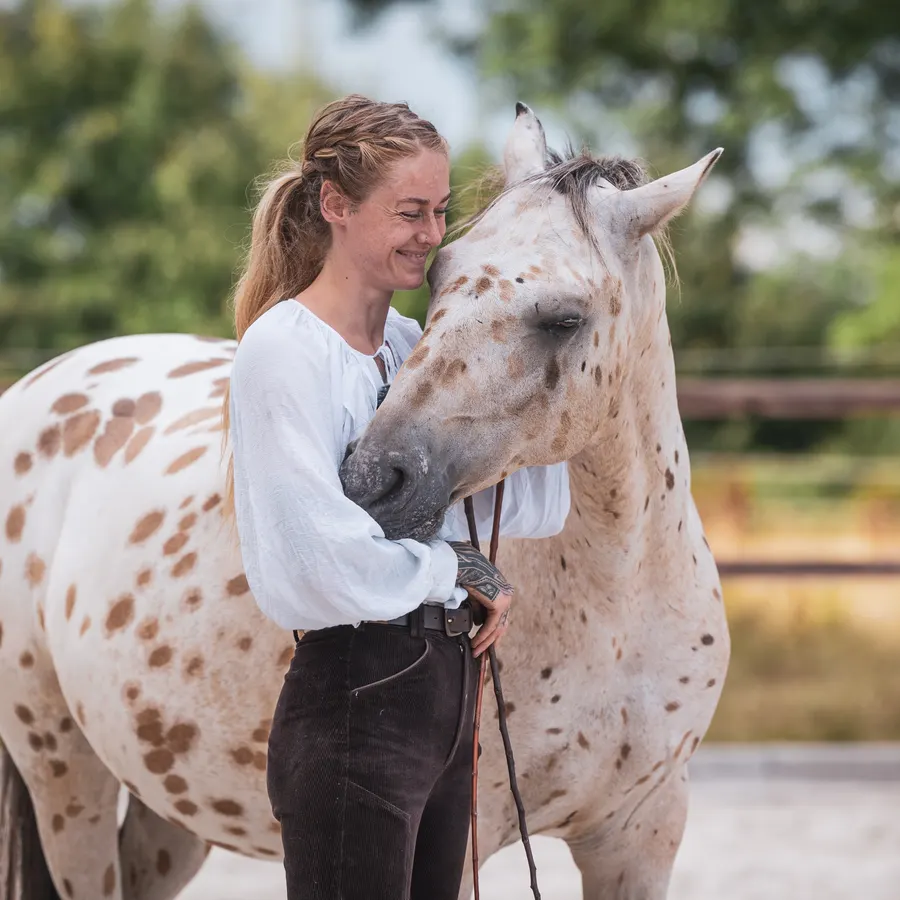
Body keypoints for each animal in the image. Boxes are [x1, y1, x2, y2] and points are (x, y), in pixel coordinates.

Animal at [0, 103, 728, 899]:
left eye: (564, 318)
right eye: (438, 270)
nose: (374, 479)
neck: (617, 595)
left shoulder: (642, 831)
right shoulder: (468, 842)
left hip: (169, 805)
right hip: (65, 774)